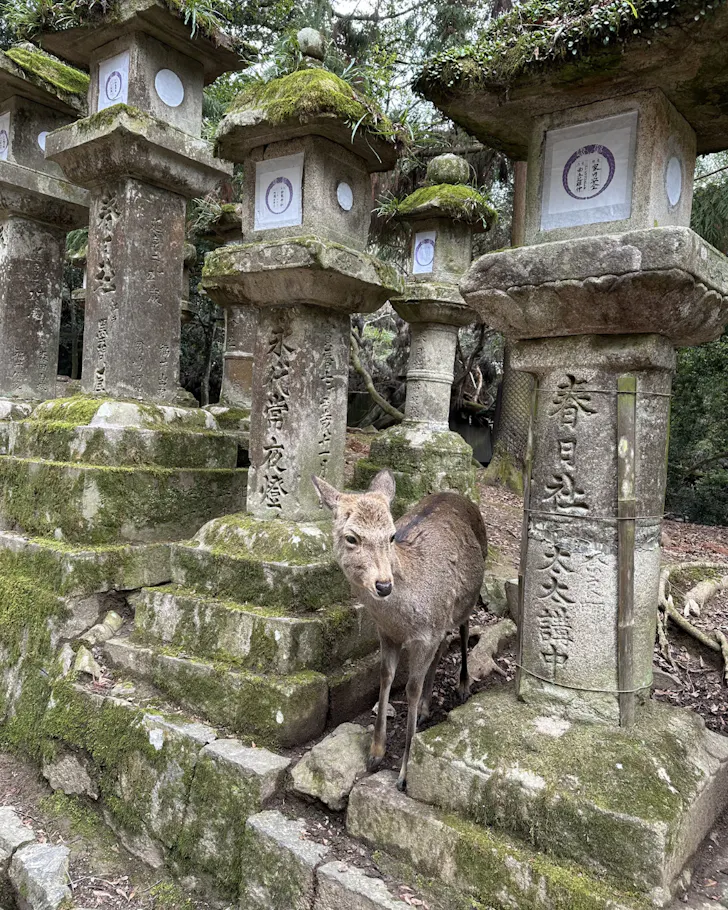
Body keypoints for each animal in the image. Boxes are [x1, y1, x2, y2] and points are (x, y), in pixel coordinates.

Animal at [312, 469, 487, 791]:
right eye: (351, 537)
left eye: (392, 535)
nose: (384, 585)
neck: (402, 620)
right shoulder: (388, 633)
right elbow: (385, 678)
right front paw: (375, 752)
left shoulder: (424, 635)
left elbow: (411, 690)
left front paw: (404, 774)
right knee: (443, 645)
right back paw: (428, 708)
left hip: (468, 598)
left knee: (464, 628)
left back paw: (462, 686)